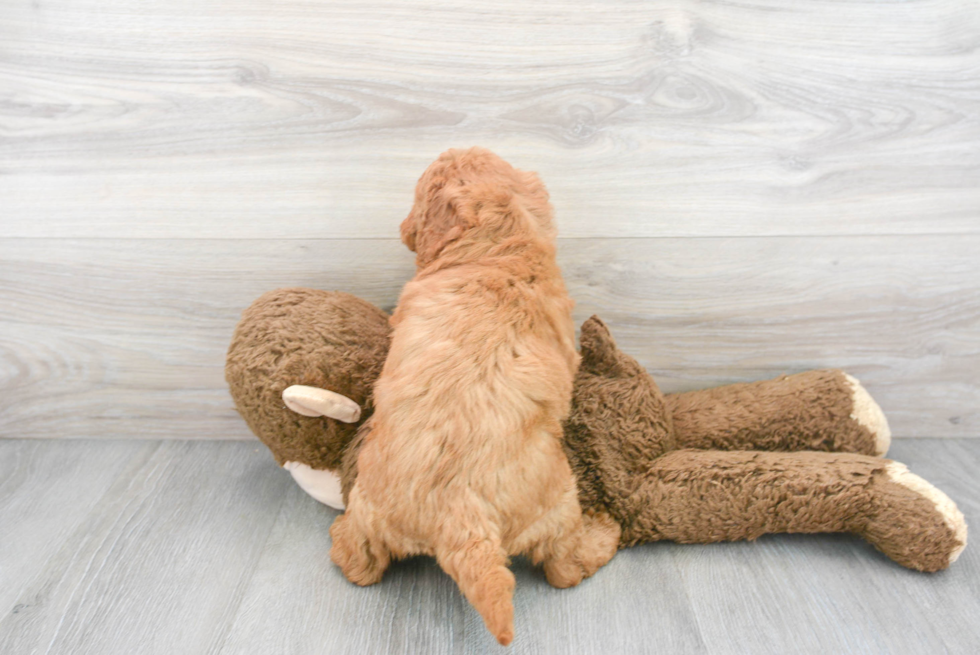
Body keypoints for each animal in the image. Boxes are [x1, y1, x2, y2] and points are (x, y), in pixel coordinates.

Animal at [330, 149, 620, 644]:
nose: (401, 227)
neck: (498, 250)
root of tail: (459, 513)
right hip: (559, 502)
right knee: (565, 567)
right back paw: (605, 533)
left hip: (369, 506)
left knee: (360, 562)